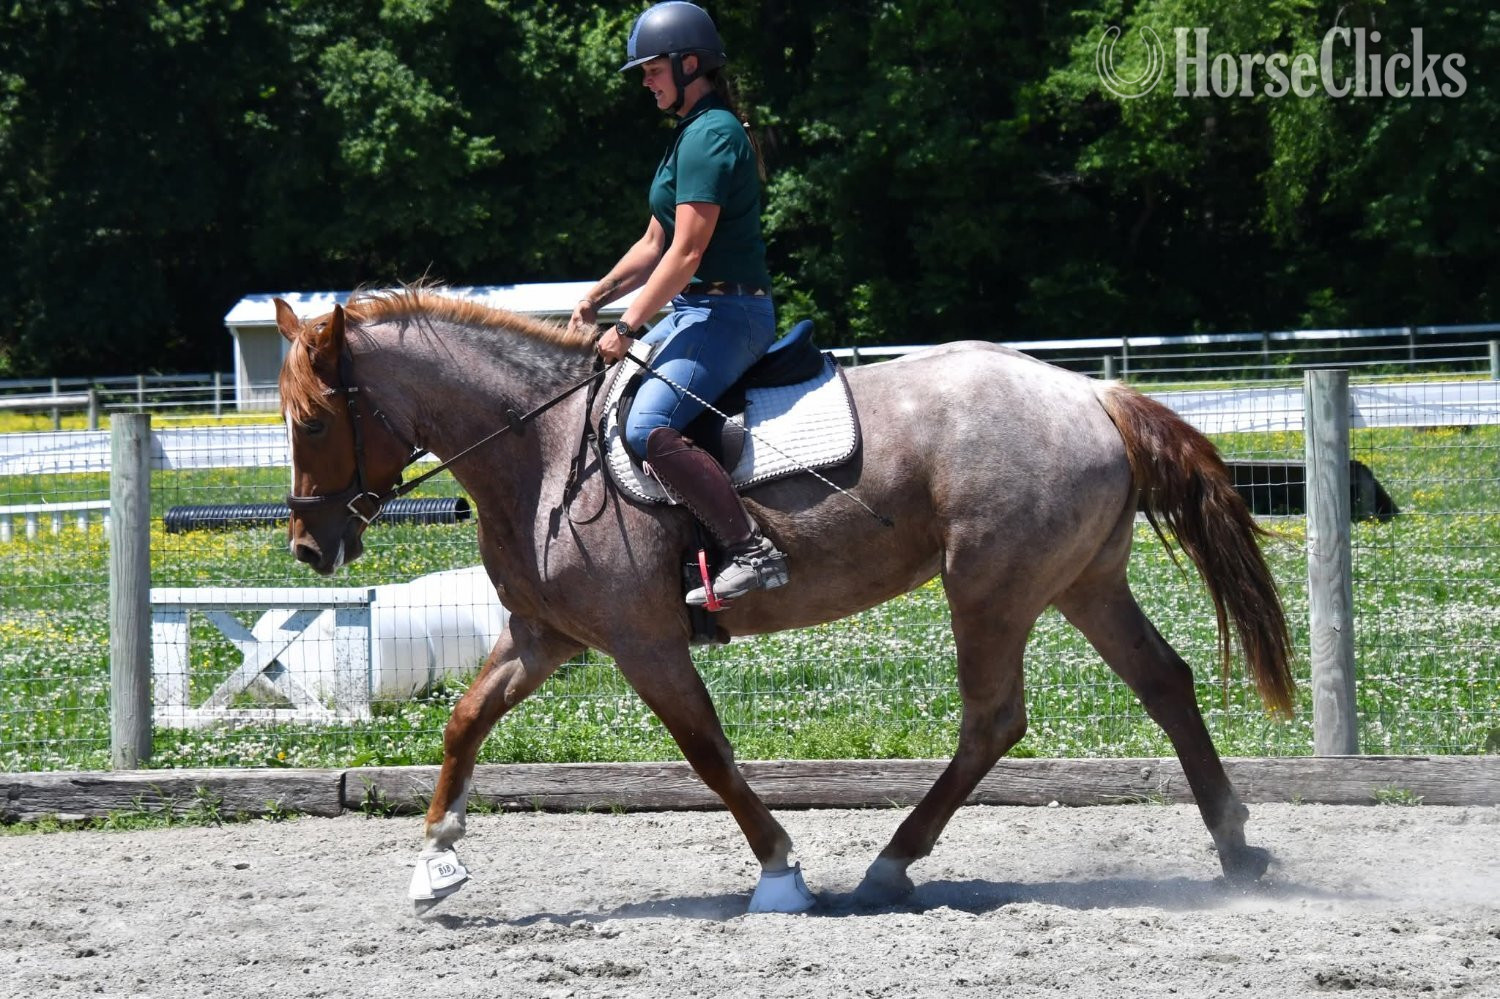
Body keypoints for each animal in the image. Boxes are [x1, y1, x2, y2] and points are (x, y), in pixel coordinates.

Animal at [275, 287, 1294, 914]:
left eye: (314, 421)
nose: (310, 548)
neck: (543, 446)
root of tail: (1091, 392)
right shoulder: (546, 636)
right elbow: (464, 720)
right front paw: (435, 861)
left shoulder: (644, 641)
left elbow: (708, 754)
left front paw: (780, 872)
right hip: (1084, 581)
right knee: (1165, 683)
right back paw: (1236, 848)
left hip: (989, 586)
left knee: (993, 720)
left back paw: (889, 864)